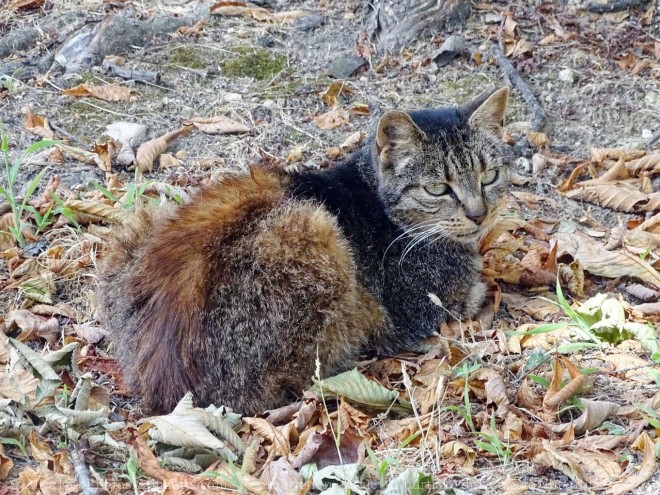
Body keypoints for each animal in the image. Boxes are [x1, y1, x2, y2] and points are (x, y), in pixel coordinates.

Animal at [96, 87, 510, 416]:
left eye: (489, 176)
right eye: (438, 189)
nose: (479, 214)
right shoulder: (430, 307)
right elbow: (475, 290)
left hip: (138, 222)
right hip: (316, 233)